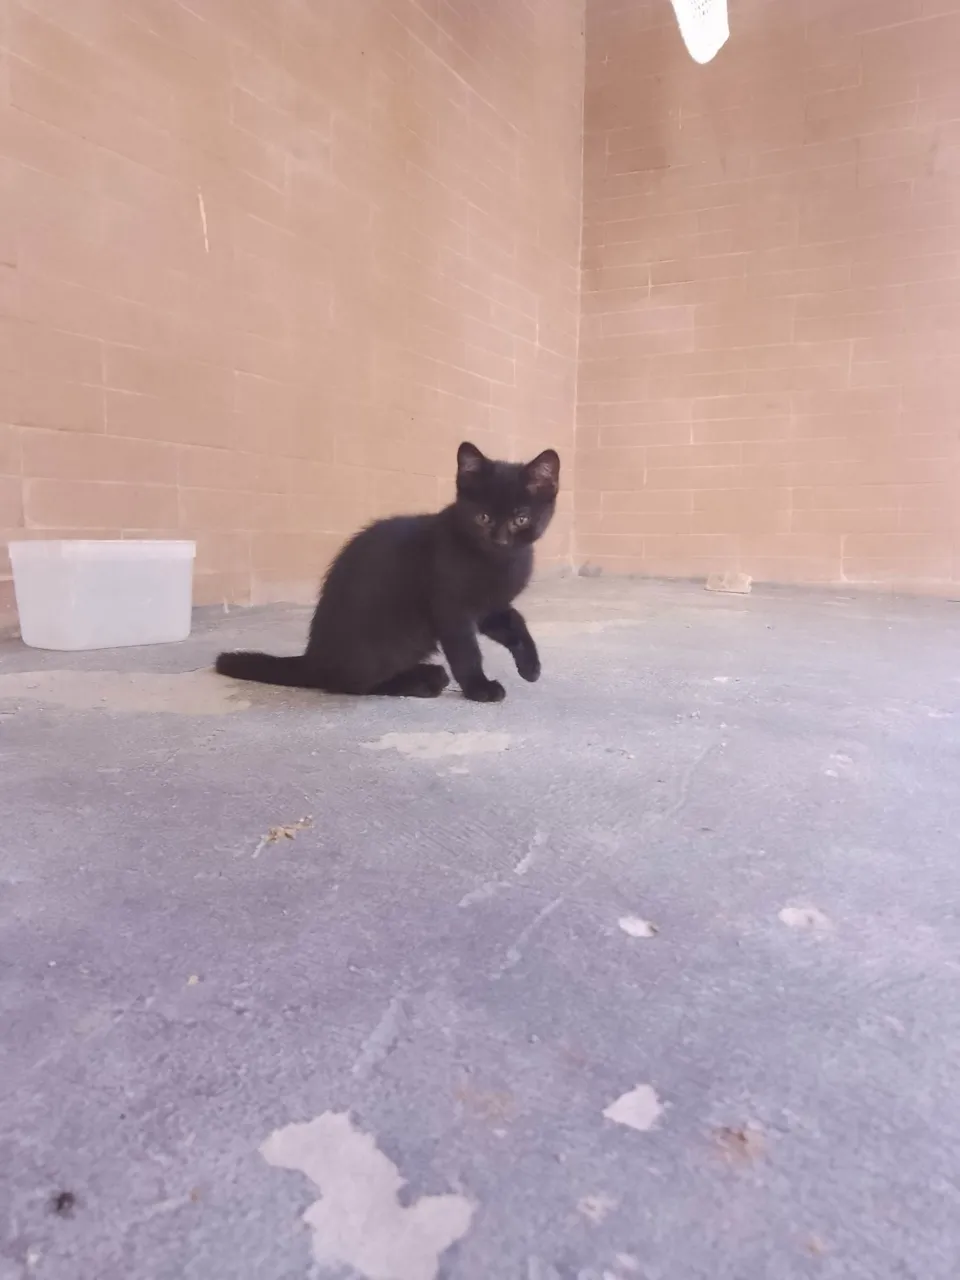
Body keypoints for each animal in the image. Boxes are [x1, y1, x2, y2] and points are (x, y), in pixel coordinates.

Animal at [215, 441, 560, 702]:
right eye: (483, 517)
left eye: (520, 519)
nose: (499, 540)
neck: (497, 562)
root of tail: (314, 659)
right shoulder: (451, 607)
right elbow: (465, 651)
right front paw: (479, 688)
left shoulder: (489, 606)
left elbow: (514, 621)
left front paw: (530, 666)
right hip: (390, 640)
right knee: (349, 685)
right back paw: (420, 683)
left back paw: (427, 674)